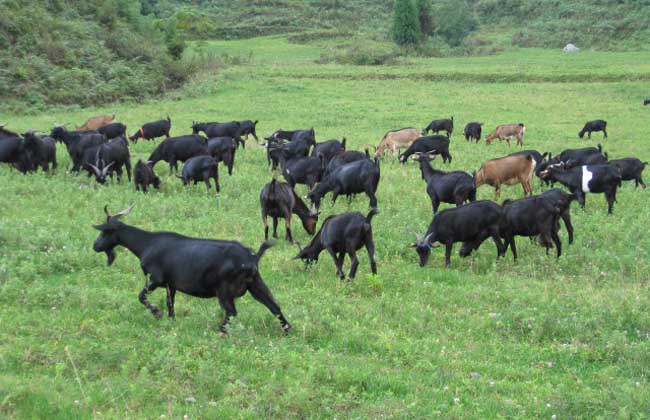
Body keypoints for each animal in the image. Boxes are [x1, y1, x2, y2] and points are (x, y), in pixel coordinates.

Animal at [92, 204, 290, 334]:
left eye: (105, 231)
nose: (95, 246)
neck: (146, 244)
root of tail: (252, 257)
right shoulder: (170, 284)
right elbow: (170, 303)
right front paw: (171, 321)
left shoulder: (156, 279)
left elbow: (142, 296)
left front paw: (157, 313)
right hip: (255, 283)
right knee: (274, 306)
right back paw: (287, 330)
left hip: (225, 289)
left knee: (232, 311)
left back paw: (220, 332)